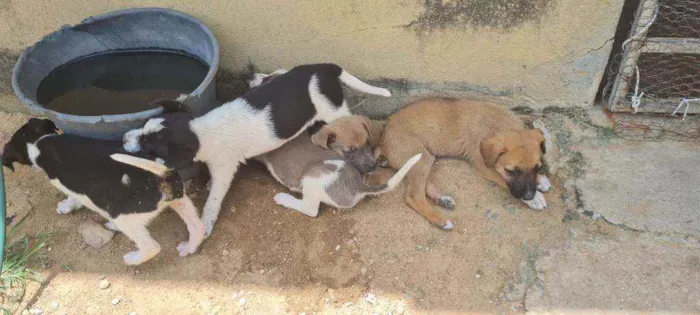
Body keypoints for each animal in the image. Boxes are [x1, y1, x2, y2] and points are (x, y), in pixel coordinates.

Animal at [2, 118, 205, 266]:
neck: (39, 142)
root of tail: (163, 175)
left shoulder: (71, 186)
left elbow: (72, 198)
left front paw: (65, 207)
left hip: (122, 216)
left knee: (151, 246)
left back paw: (132, 259)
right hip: (181, 201)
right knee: (197, 227)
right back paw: (188, 248)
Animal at [122, 63, 392, 237]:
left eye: (148, 146)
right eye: (142, 128)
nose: (123, 139)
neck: (201, 130)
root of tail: (325, 68)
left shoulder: (224, 169)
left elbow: (212, 202)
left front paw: (205, 225)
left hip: (335, 111)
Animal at [378, 97, 552, 231]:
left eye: (537, 168)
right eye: (512, 171)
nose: (529, 196)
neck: (498, 125)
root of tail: (384, 135)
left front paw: (541, 180)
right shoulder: (482, 165)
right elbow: (502, 179)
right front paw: (536, 198)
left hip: (425, 158)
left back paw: (442, 199)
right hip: (420, 157)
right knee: (413, 195)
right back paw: (440, 220)